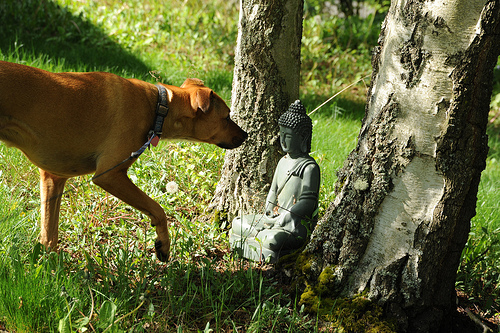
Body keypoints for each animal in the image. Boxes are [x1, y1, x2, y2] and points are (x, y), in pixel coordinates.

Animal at [0, 61, 248, 260]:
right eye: (227, 117)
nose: (246, 135)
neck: (159, 106)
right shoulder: (110, 174)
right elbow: (158, 209)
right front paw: (164, 244)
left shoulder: (54, 177)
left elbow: (48, 236)